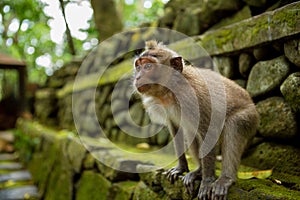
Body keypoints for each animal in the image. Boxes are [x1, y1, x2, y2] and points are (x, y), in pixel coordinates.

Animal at [132, 39, 258, 199]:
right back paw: (198, 171)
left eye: (148, 66)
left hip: (249, 117)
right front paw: (181, 168)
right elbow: (175, 129)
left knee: (234, 128)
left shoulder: (193, 97)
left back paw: (225, 179)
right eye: (138, 66)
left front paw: (207, 181)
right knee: (190, 131)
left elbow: (208, 131)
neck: (171, 89)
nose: (137, 77)